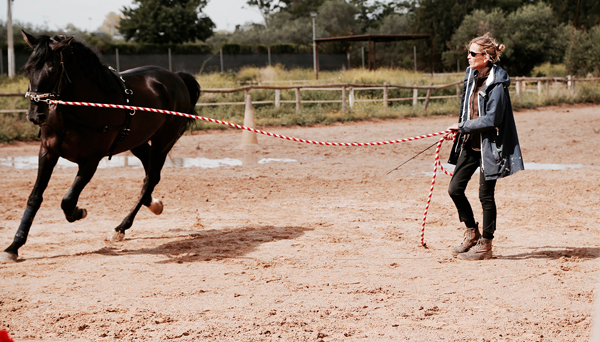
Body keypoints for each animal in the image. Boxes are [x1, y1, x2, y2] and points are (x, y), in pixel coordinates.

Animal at [0, 32, 202, 262]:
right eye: (28, 68)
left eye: (52, 69)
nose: (35, 115)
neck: (80, 108)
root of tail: (176, 78)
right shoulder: (48, 153)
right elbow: (34, 198)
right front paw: (13, 246)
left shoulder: (90, 161)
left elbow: (67, 200)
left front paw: (78, 212)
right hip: (137, 142)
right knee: (150, 175)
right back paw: (152, 205)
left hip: (163, 142)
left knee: (150, 179)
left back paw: (121, 227)